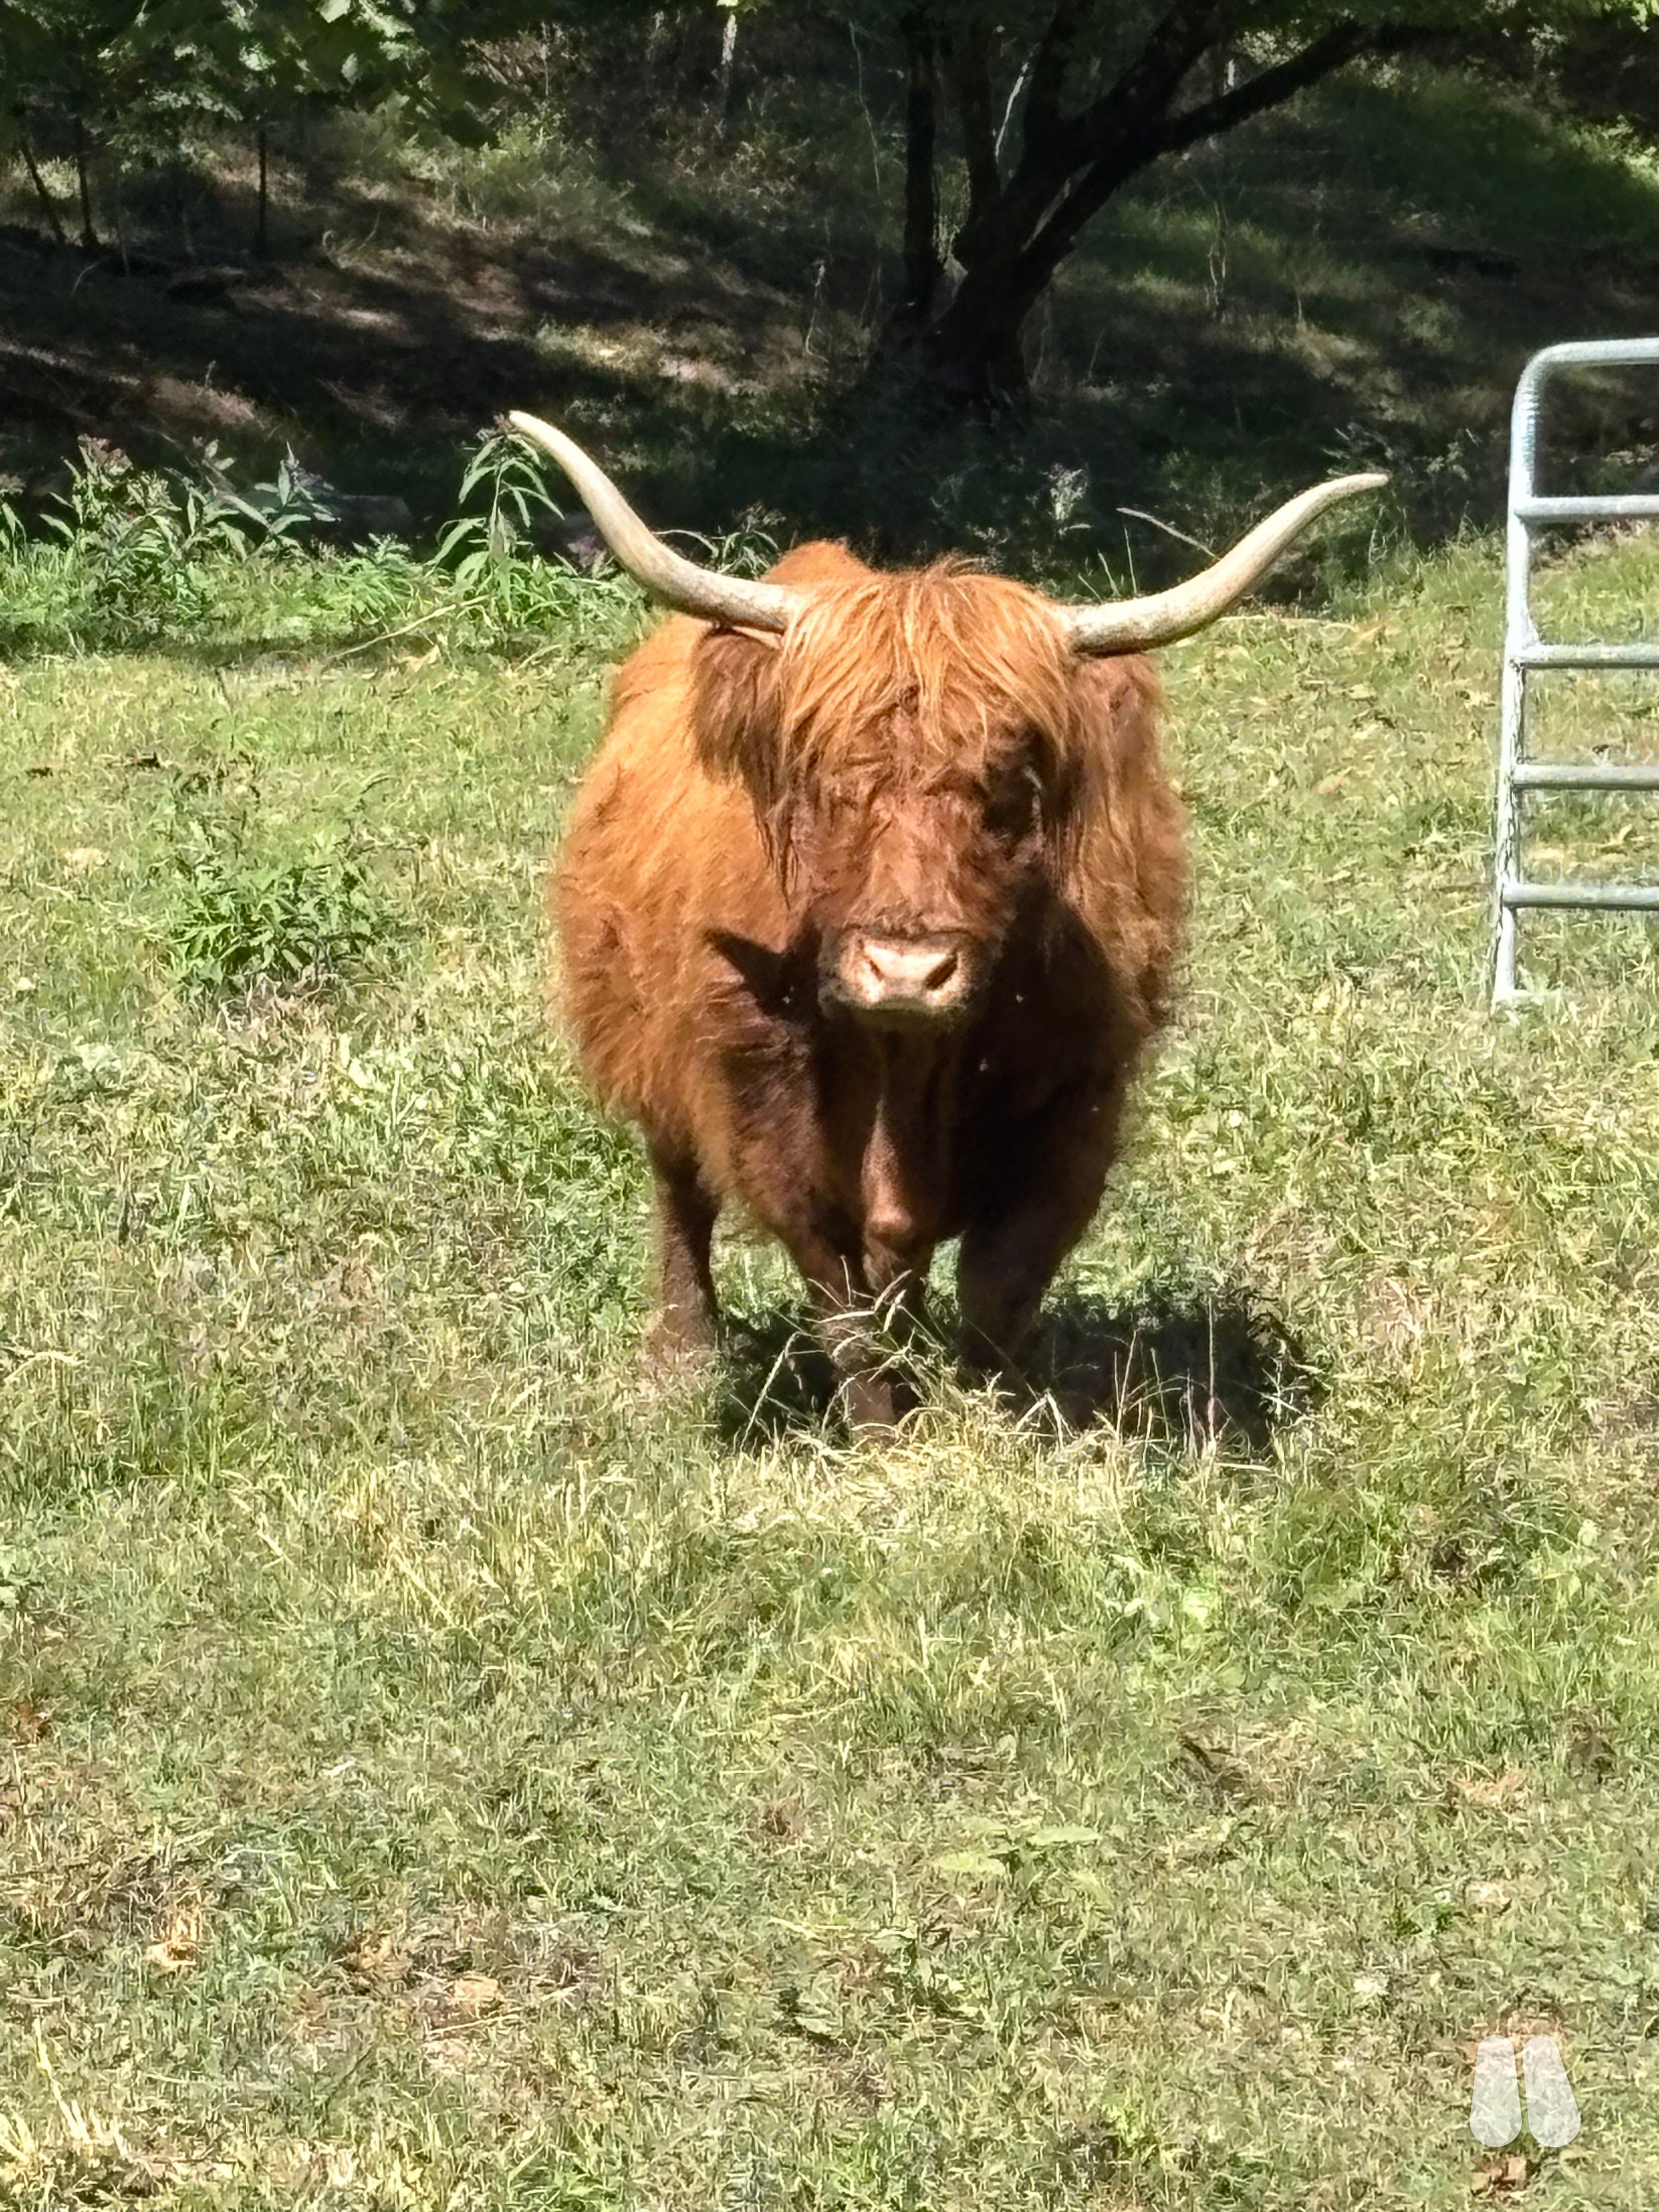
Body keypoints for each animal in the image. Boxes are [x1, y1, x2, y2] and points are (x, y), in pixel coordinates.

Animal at [511, 411, 1384, 1427]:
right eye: (826, 780)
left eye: (1008, 788)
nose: (904, 971)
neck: (907, 1062)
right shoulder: (765, 1103)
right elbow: (839, 1293)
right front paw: (885, 1437)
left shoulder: (1076, 1096)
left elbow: (997, 1282)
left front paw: (992, 1417)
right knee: (679, 1185)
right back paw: (680, 1354)